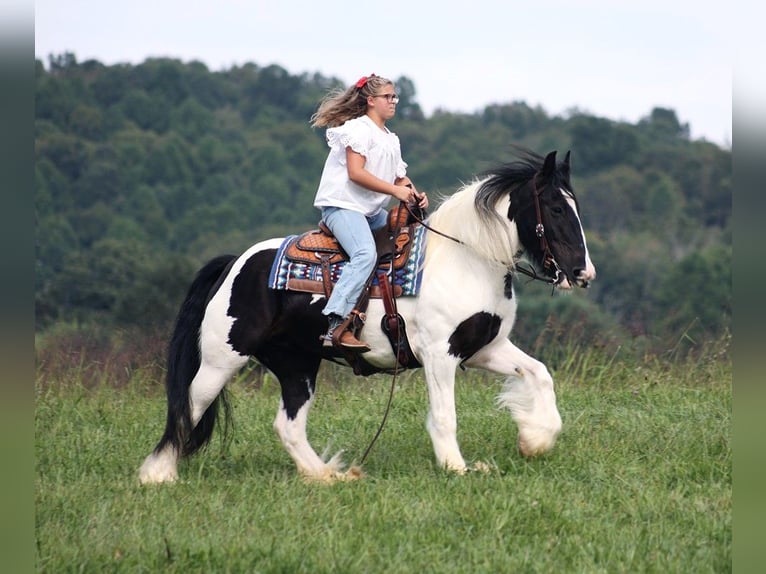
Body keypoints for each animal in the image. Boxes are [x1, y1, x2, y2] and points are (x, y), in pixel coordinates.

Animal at [140, 146, 600, 484]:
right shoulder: (439, 354)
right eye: (556, 209)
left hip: (297, 364)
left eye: (575, 206)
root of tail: (236, 262)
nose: (583, 273)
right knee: (189, 405)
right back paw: (158, 475)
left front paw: (535, 440)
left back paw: (327, 476)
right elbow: (445, 416)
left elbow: (539, 374)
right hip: (223, 357)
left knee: (288, 425)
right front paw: (457, 467)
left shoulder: (486, 348)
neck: (466, 259)